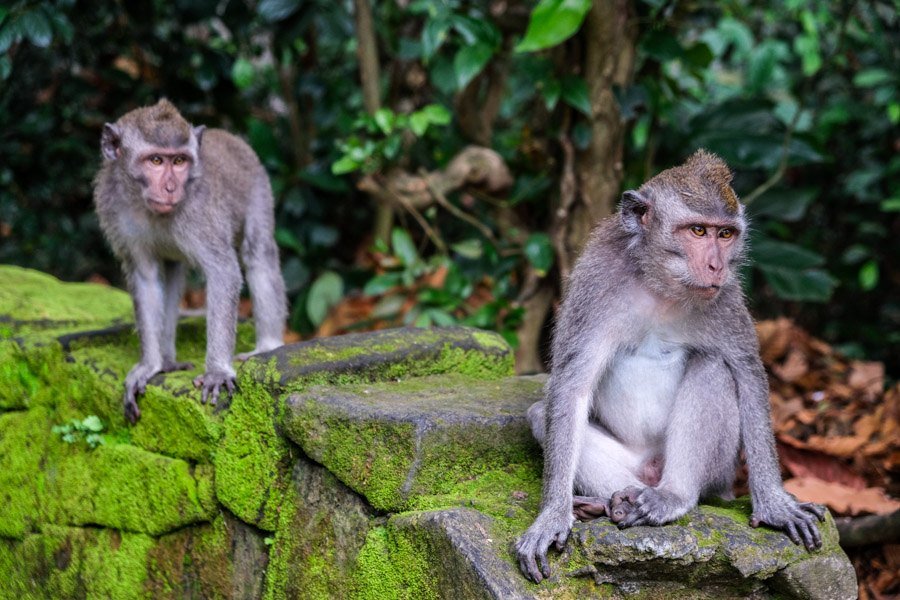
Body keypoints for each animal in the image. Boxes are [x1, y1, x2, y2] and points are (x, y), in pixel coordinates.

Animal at [93, 99, 286, 422]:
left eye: (180, 161)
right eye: (156, 161)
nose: (171, 188)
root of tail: (228, 136)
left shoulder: (199, 214)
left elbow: (224, 272)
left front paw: (217, 371)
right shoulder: (116, 211)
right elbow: (146, 278)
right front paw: (150, 366)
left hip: (258, 186)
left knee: (258, 253)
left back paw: (268, 346)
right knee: (171, 273)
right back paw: (168, 361)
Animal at [516, 149, 828, 580]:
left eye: (725, 235)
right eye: (697, 231)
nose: (716, 266)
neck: (659, 285)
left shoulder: (726, 297)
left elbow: (747, 374)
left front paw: (774, 504)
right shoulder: (594, 283)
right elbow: (571, 388)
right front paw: (551, 516)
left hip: (718, 473)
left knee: (713, 369)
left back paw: (670, 497)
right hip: (634, 462)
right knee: (539, 415)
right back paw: (612, 501)